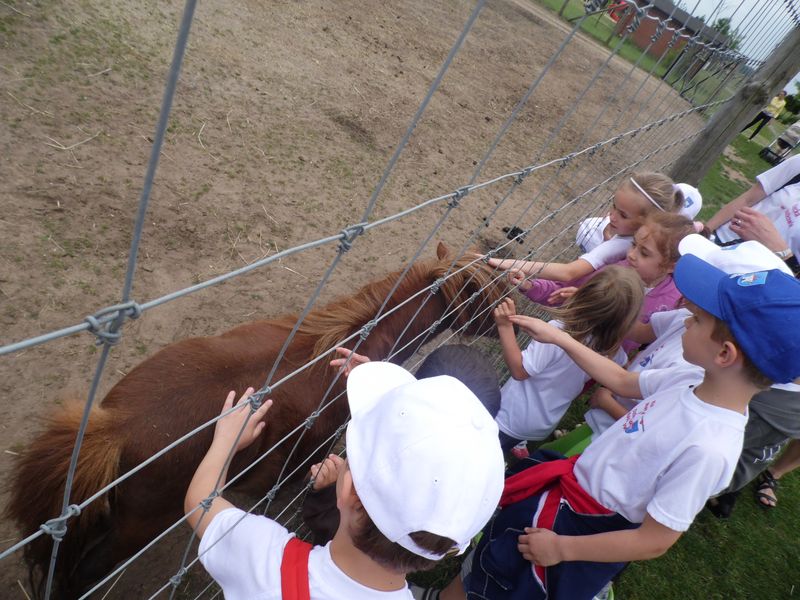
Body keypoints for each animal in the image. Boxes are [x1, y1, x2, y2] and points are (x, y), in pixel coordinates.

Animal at [7, 241, 506, 596]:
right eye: (484, 294)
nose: (511, 316)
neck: (339, 354)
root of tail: (116, 426)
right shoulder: (303, 461)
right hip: (131, 531)